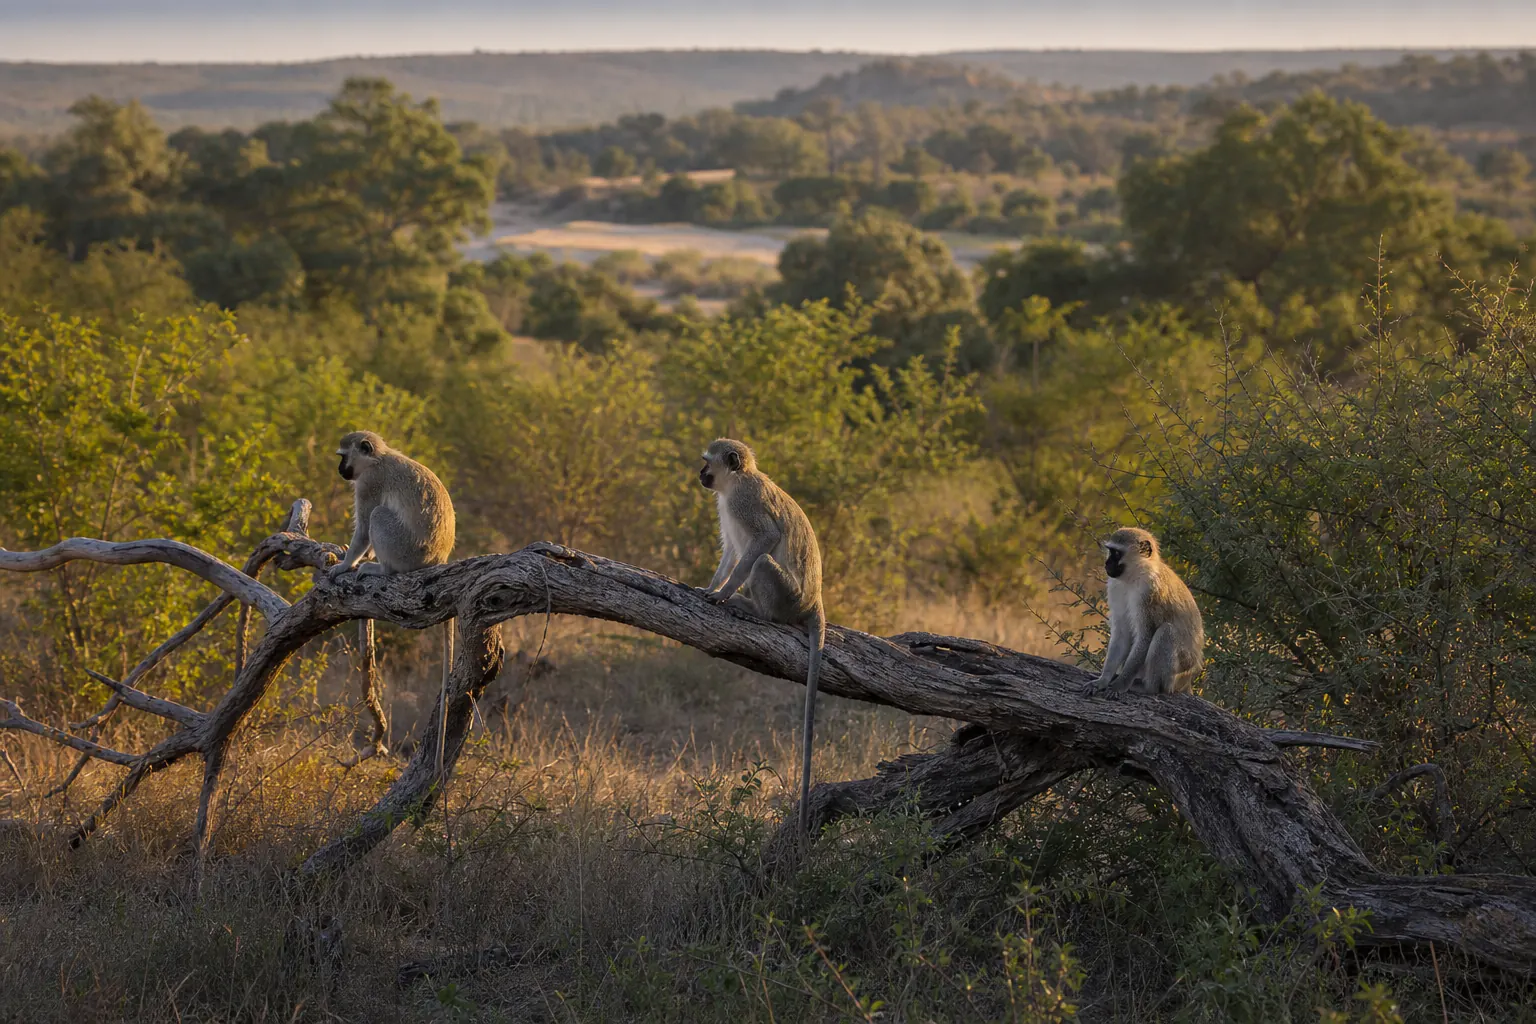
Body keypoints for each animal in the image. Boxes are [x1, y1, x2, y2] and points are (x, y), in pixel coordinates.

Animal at [331, 431, 456, 772]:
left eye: (343, 456)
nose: (340, 471)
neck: (378, 458)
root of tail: (437, 559)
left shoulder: (368, 483)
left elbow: (363, 529)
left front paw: (346, 565)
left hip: (404, 549)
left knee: (377, 516)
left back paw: (381, 569)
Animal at [697, 438, 826, 837]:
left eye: (706, 462)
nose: (699, 474)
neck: (736, 482)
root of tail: (814, 601)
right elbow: (730, 552)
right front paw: (712, 587)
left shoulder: (744, 502)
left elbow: (764, 539)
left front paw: (724, 594)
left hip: (787, 596)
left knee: (760, 563)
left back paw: (753, 608)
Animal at [1089, 526, 1204, 697]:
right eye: (1110, 551)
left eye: (1116, 553)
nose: (1107, 563)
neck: (1135, 575)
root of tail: (1188, 680)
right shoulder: (1115, 586)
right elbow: (1122, 634)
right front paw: (1103, 680)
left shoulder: (1149, 592)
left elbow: (1146, 636)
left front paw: (1118, 686)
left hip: (1179, 673)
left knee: (1166, 632)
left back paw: (1148, 688)